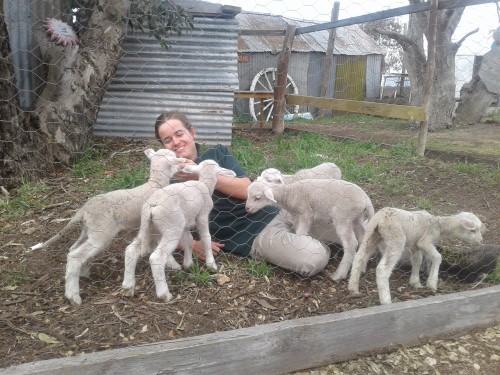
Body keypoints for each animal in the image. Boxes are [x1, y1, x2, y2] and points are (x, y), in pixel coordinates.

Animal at [29, 148, 186, 306]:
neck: (156, 183)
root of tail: (84, 209)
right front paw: (173, 264)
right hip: (101, 234)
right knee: (75, 256)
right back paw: (73, 295)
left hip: (89, 230)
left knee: (73, 249)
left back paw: (83, 272)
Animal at [122, 159, 237, 302]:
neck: (204, 184)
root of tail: (152, 205)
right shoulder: (202, 215)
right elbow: (206, 238)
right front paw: (211, 264)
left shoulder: (186, 223)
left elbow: (189, 240)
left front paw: (188, 264)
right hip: (172, 227)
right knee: (156, 258)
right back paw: (164, 294)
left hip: (150, 227)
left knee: (131, 249)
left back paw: (128, 286)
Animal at [246, 176, 376, 282]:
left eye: (257, 198)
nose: (247, 208)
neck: (289, 194)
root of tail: (366, 200)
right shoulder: (299, 215)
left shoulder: (305, 213)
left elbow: (301, 232)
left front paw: (300, 240)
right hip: (356, 218)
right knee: (364, 237)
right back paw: (361, 266)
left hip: (343, 216)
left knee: (351, 244)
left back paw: (340, 274)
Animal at [350, 209, 486, 306]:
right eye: (473, 230)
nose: (481, 241)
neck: (438, 225)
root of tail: (380, 219)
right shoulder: (425, 241)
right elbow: (437, 257)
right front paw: (432, 284)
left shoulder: (415, 245)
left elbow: (417, 260)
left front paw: (416, 283)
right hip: (395, 238)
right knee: (383, 268)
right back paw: (386, 300)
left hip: (371, 235)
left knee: (359, 257)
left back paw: (353, 288)